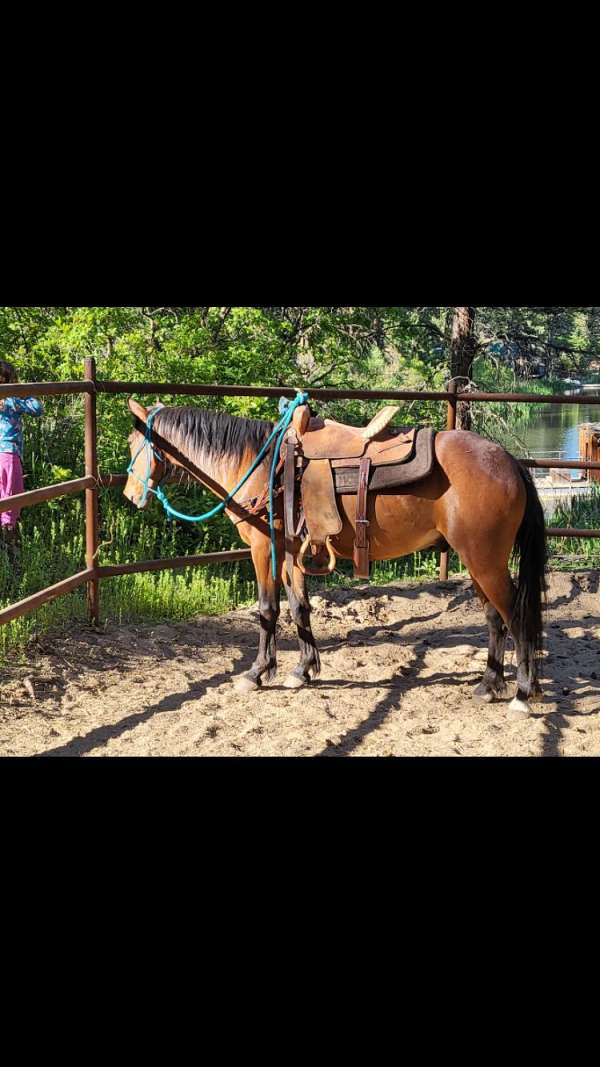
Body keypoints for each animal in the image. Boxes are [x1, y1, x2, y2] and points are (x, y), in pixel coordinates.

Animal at [122, 394, 546, 717]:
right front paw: (303, 669)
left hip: (485, 562)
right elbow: (299, 608)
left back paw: (523, 694)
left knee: (516, 616)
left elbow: (267, 609)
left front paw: (257, 672)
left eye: (132, 443)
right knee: (495, 618)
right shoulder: (291, 552)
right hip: (476, 562)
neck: (260, 464)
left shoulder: (263, 547)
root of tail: (510, 462)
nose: (129, 493)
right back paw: (489, 685)